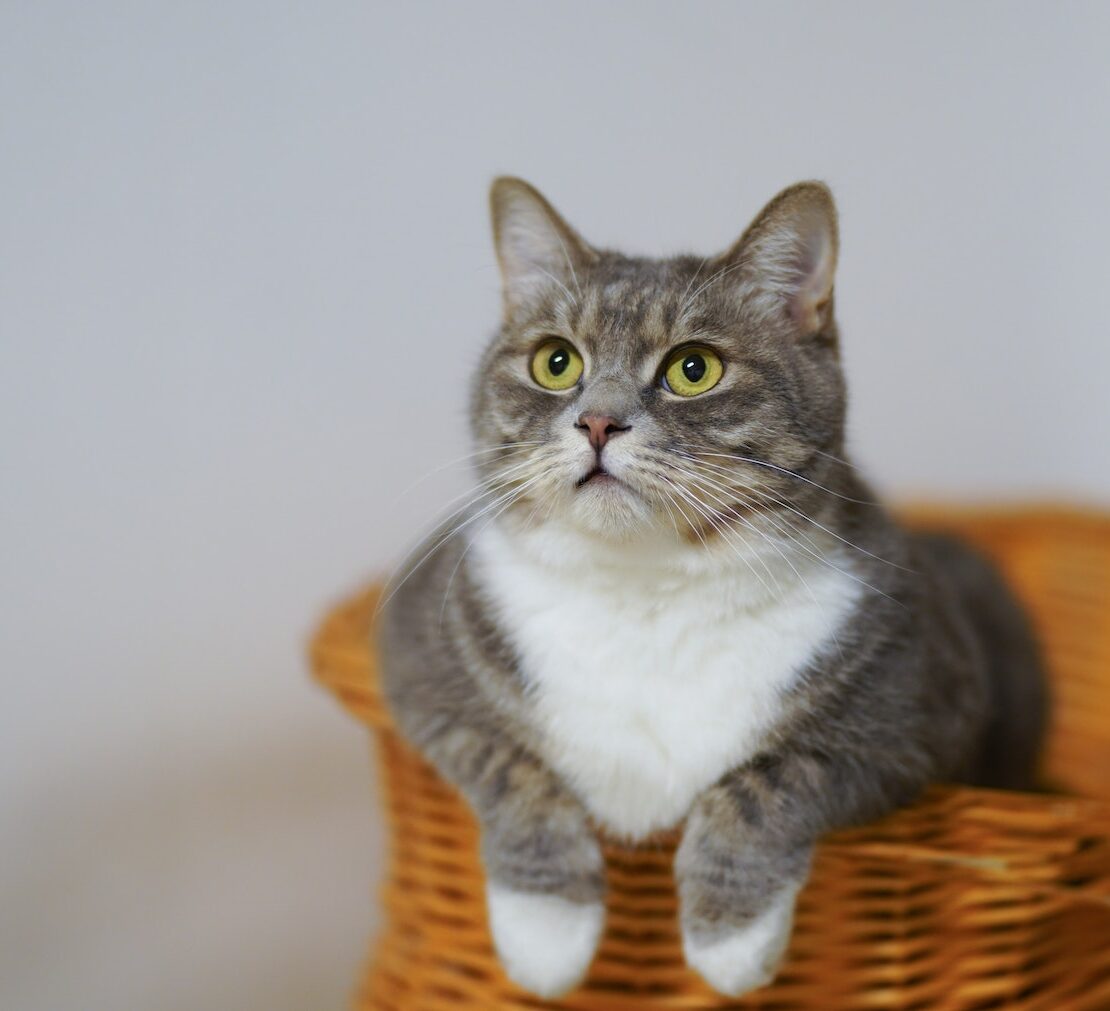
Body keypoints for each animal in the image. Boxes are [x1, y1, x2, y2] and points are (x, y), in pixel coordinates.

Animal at [377, 177, 1043, 998]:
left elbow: (773, 777)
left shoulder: (915, 706)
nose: (598, 421)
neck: (648, 589)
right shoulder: (419, 658)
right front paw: (547, 930)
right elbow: (509, 764)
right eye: (555, 362)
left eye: (693, 369)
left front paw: (731, 939)